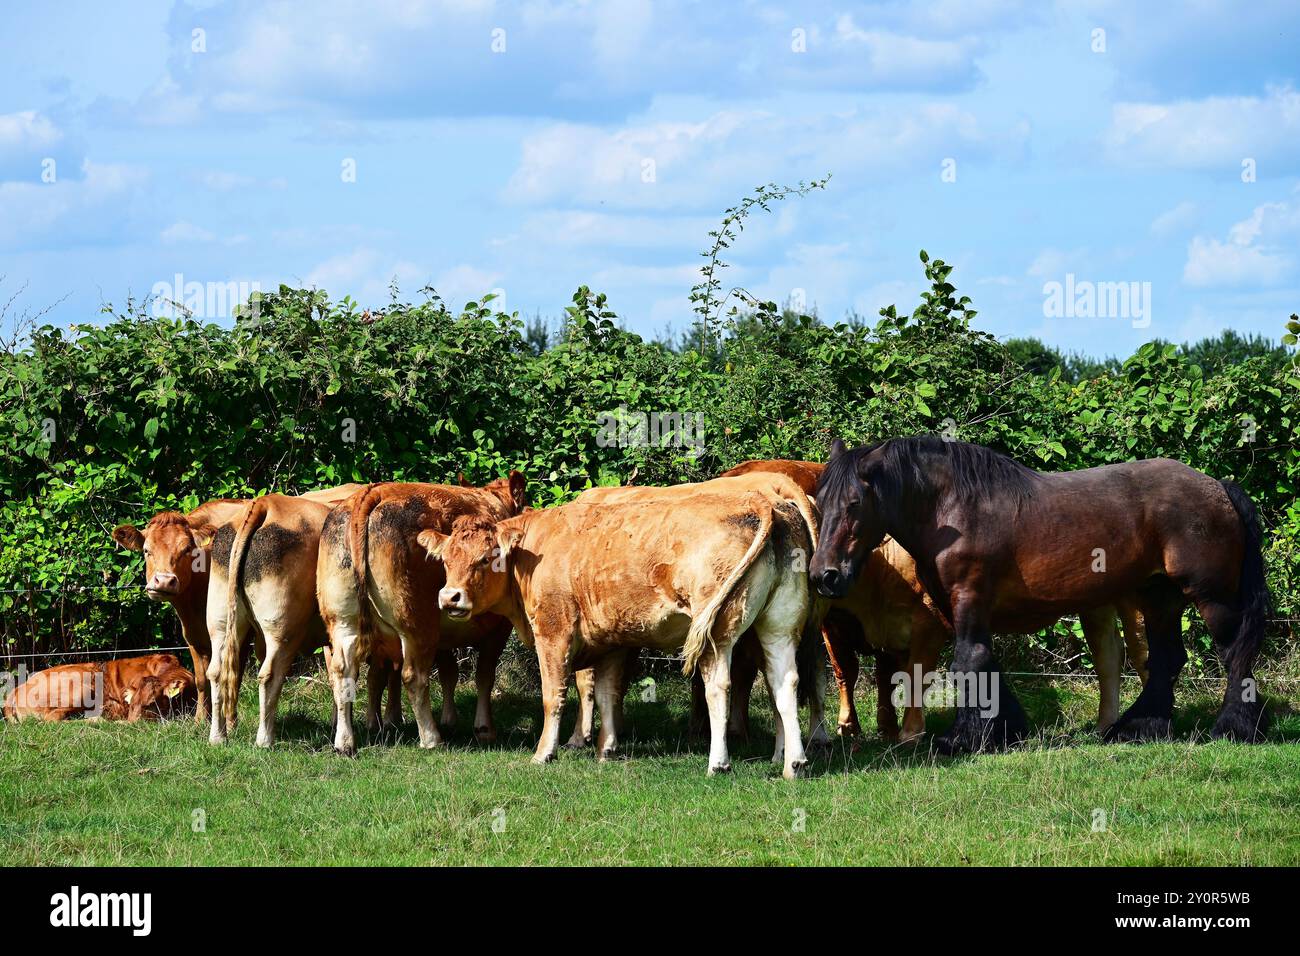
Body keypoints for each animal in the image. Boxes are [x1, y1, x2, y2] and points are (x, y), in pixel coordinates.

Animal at [4, 655, 195, 723]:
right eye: (132, 704)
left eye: (152, 703)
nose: (132, 723)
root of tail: (17, 689)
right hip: (81, 687)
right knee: (52, 719)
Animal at [112, 486, 364, 723]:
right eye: (147, 550)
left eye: (186, 549)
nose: (164, 581)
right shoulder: (193, 636)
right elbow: (202, 679)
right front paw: (201, 720)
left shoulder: (242, 635)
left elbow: (234, 673)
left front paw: (229, 720)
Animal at [317, 470, 525, 754]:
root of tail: (371, 492)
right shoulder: (498, 627)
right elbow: (484, 676)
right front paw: (484, 729)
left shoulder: (444, 634)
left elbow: (449, 672)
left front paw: (451, 719)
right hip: (418, 624)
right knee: (413, 676)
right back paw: (431, 737)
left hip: (342, 622)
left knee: (343, 672)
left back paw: (345, 742)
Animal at [421, 476, 816, 780]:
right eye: (446, 560)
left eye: (486, 559)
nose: (449, 597)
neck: (535, 550)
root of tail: (763, 500)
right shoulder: (611, 642)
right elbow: (607, 693)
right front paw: (606, 749)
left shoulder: (553, 631)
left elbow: (554, 695)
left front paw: (545, 752)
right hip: (779, 626)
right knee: (784, 684)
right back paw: (793, 762)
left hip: (717, 631)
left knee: (719, 687)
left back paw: (718, 763)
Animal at [811, 434, 1268, 754]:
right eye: (820, 501)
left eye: (854, 503)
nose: (824, 575)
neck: (953, 507)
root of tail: (1218, 486)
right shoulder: (962, 606)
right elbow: (986, 662)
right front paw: (1004, 730)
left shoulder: (968, 597)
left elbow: (968, 661)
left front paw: (962, 739)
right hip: (1159, 599)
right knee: (1168, 658)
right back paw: (1141, 727)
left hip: (1212, 597)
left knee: (1235, 655)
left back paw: (1232, 728)